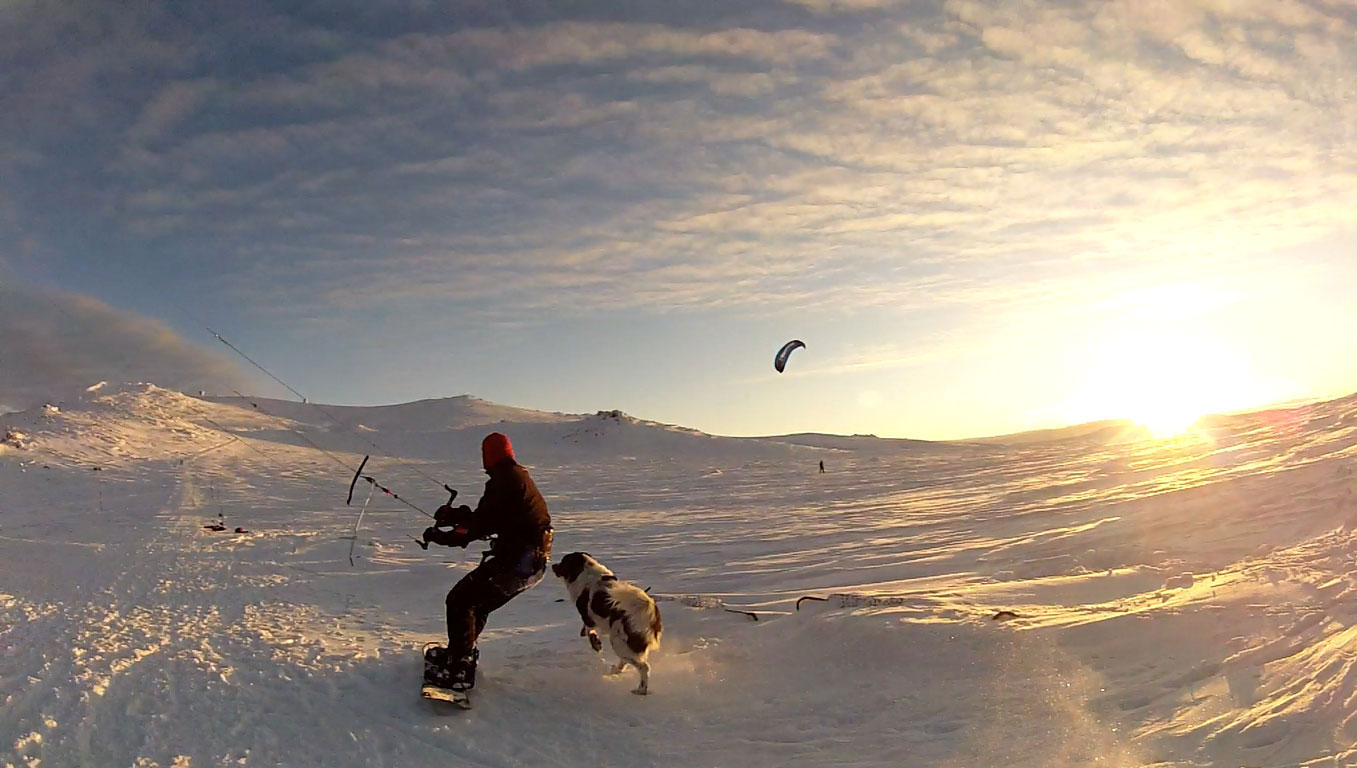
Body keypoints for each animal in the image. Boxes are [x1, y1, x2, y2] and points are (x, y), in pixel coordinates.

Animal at [548, 553, 659, 700]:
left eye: (563, 562)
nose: (553, 565)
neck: (587, 572)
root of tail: (647, 608)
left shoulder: (588, 618)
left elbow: (590, 632)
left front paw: (596, 644)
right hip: (627, 644)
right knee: (630, 661)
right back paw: (616, 671)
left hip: (619, 642)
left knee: (644, 667)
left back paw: (640, 690)